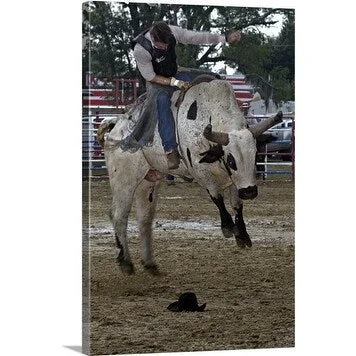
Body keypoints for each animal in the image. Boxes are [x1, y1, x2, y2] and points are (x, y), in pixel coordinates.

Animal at [96, 76, 280, 276]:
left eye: (255, 155)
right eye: (231, 160)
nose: (250, 192)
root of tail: (117, 125)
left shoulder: (235, 181)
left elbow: (237, 205)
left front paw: (243, 235)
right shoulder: (201, 171)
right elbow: (217, 197)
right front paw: (227, 227)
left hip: (148, 182)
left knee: (144, 219)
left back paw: (149, 263)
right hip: (124, 178)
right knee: (119, 215)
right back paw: (126, 262)